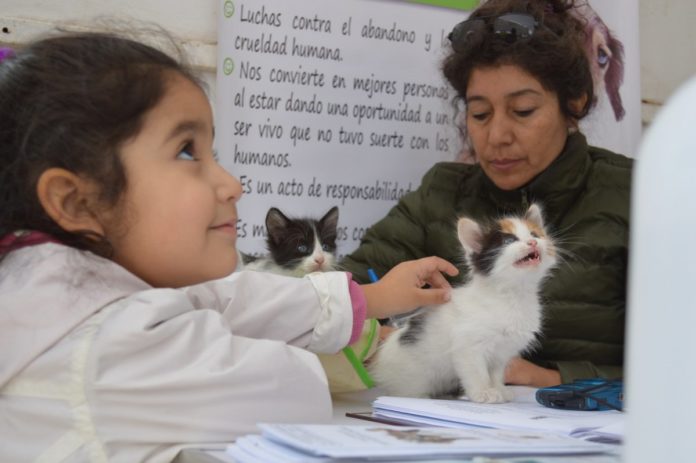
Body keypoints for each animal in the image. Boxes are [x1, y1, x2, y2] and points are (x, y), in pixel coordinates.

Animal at [372, 205, 556, 404]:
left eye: (535, 234)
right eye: (509, 240)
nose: (532, 242)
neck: (512, 295)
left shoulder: (501, 353)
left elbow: (496, 373)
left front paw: (499, 389)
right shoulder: (468, 346)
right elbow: (477, 372)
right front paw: (483, 392)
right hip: (410, 379)